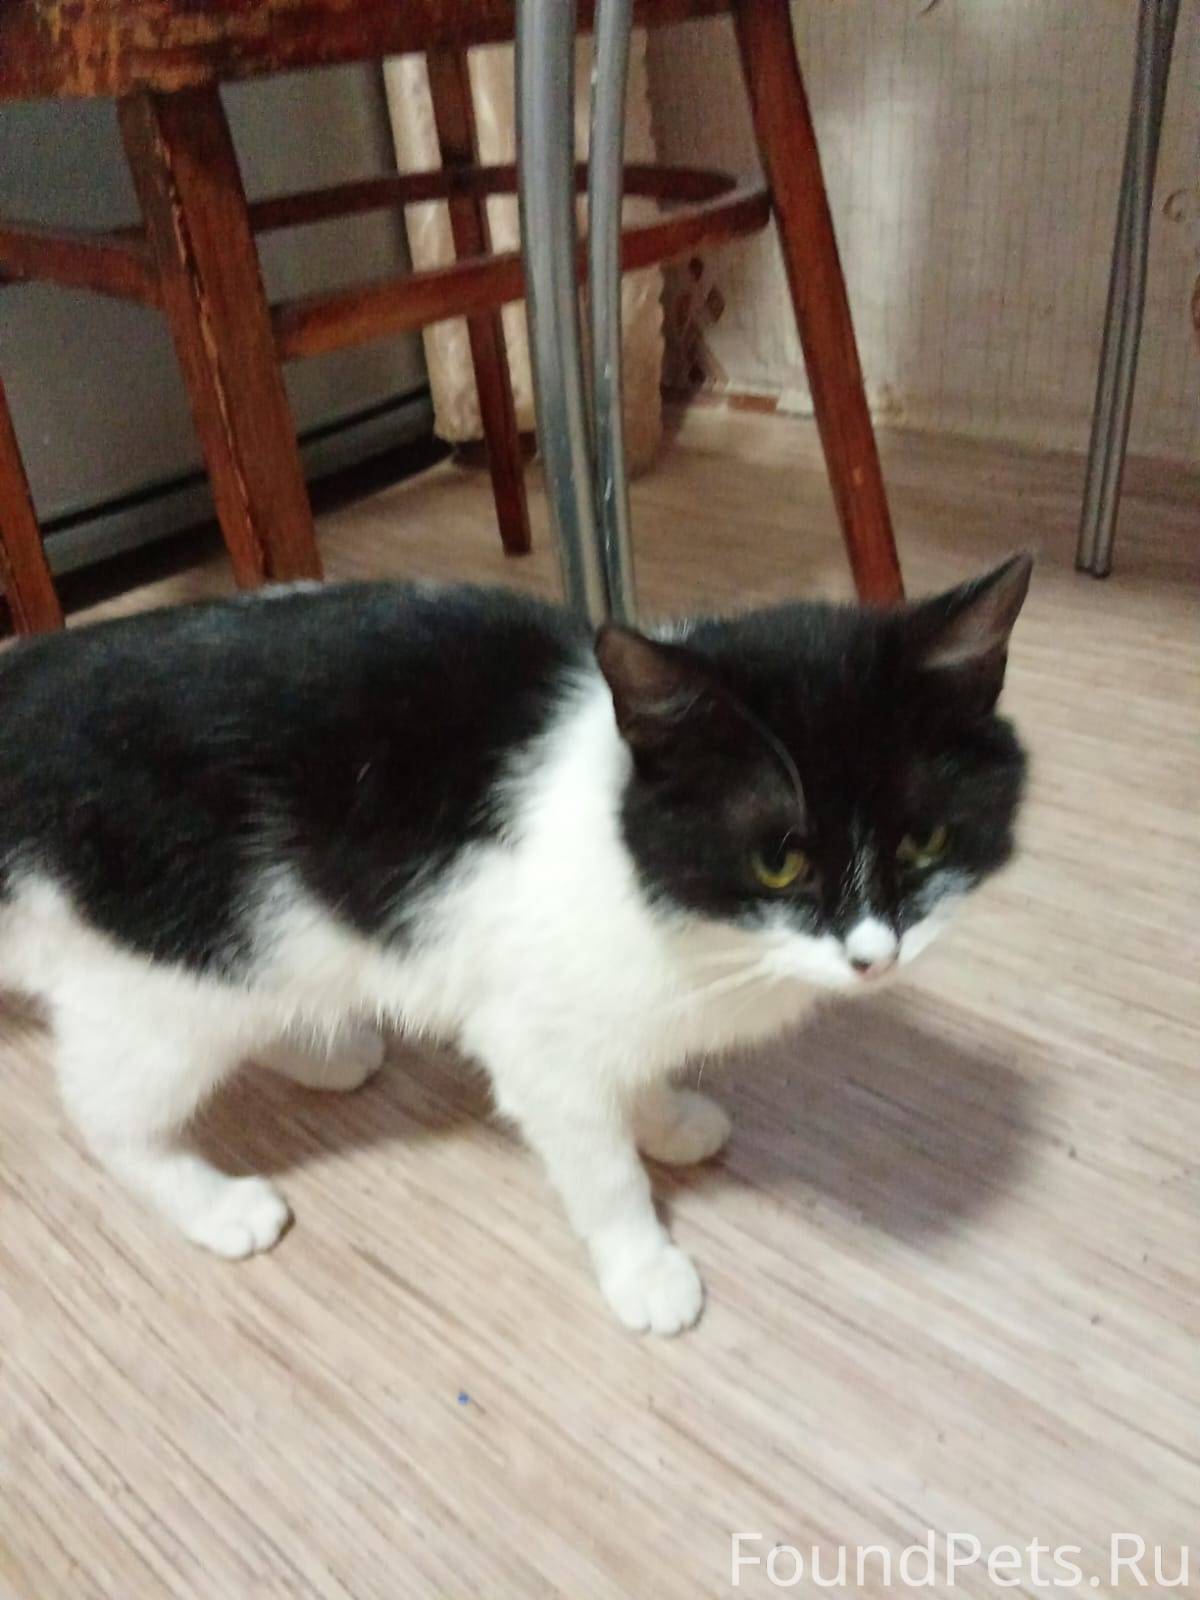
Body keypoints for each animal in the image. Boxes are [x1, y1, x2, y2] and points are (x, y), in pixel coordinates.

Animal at [0, 554, 1030, 1335]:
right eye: (779, 863)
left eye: (924, 842)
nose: (874, 956)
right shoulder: (537, 1041)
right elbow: (599, 1168)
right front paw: (643, 1267)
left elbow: (637, 1072)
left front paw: (664, 1117)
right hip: (166, 964)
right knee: (103, 1111)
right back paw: (215, 1205)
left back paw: (321, 1050)